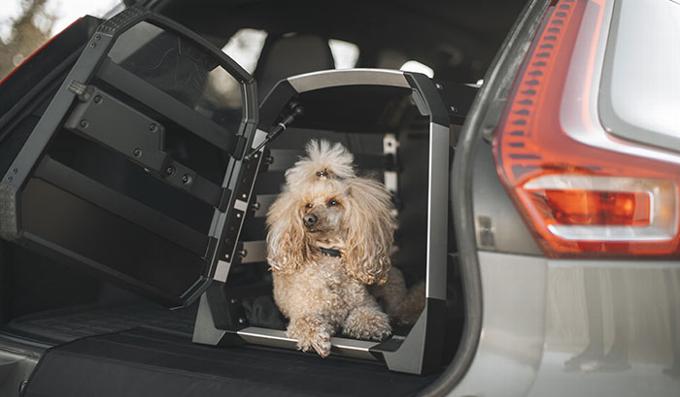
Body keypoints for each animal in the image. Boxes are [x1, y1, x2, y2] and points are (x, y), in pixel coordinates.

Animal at [266, 139, 422, 356]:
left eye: (333, 202)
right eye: (307, 205)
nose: (308, 219)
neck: (330, 256)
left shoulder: (365, 304)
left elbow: (368, 314)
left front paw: (371, 327)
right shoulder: (303, 311)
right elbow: (305, 322)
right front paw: (317, 339)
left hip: (391, 285)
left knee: (402, 306)